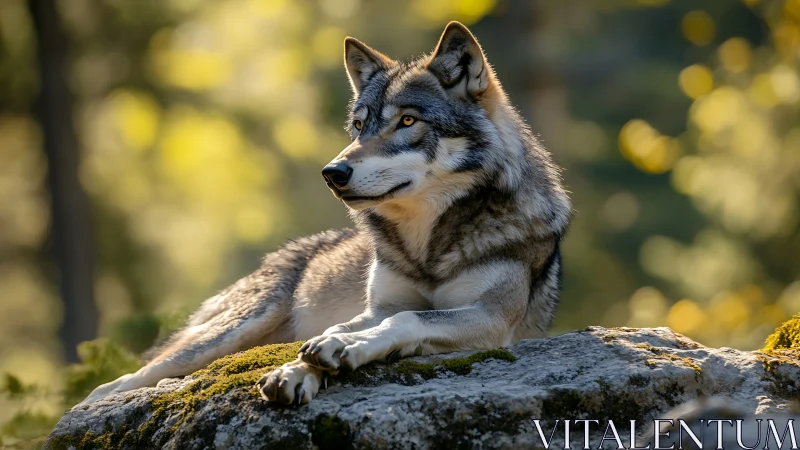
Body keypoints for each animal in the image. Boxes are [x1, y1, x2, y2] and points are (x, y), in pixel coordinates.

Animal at [79, 21, 572, 407]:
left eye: (407, 121)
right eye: (359, 125)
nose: (333, 172)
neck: (425, 247)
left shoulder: (490, 318)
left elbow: (405, 320)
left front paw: (335, 352)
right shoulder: (375, 308)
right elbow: (345, 330)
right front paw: (300, 368)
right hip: (235, 327)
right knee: (141, 372)